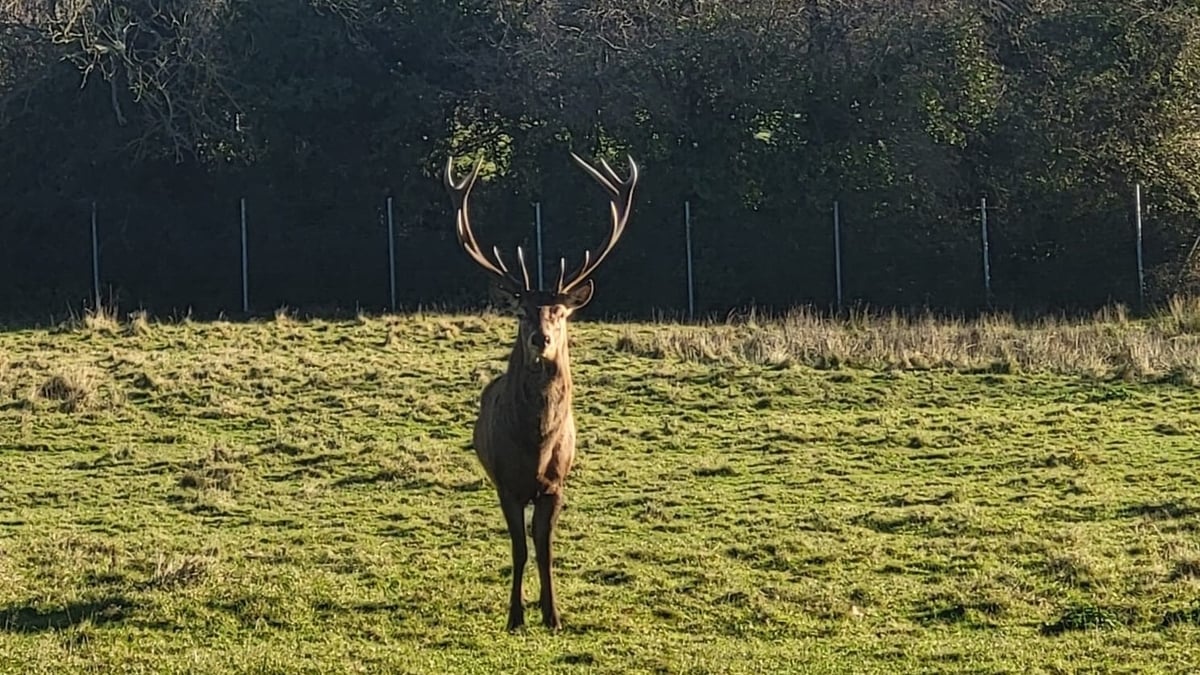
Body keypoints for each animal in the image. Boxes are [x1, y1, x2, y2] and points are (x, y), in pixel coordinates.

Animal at [442, 151, 639, 632]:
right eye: (522, 312)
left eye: (559, 312)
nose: (541, 338)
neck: (535, 445)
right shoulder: (506, 485)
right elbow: (518, 549)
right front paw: (515, 616)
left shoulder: (556, 484)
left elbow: (545, 550)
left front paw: (553, 615)